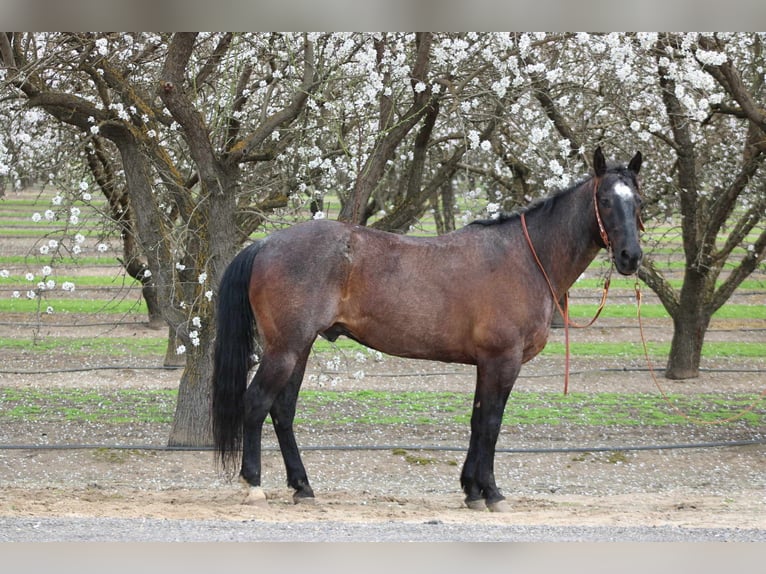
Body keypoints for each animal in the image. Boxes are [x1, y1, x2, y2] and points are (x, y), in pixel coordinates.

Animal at [212, 146, 644, 512]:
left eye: (638, 201)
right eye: (605, 200)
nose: (631, 257)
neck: (526, 257)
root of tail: (265, 243)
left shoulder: (485, 364)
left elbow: (477, 421)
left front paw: (471, 490)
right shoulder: (503, 360)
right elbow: (491, 422)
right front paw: (492, 492)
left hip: (299, 348)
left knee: (282, 411)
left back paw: (302, 486)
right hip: (285, 348)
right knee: (256, 403)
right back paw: (254, 484)